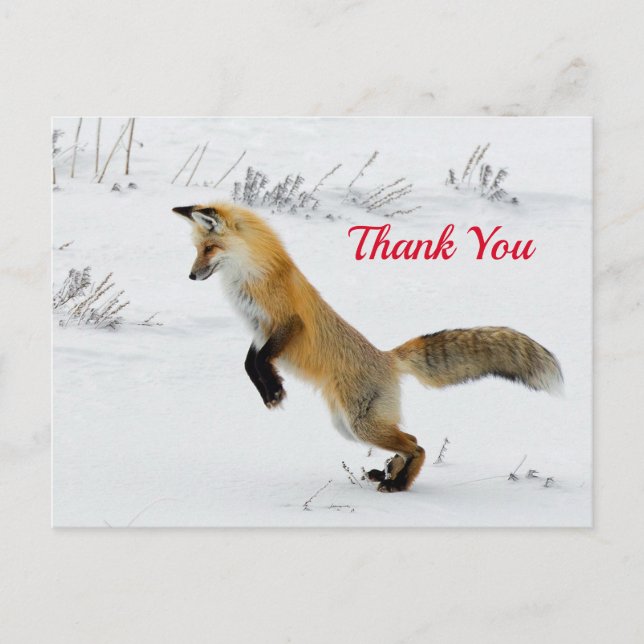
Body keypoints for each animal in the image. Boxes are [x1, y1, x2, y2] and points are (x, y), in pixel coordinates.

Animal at [172, 202, 563, 493]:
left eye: (209, 248)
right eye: (197, 249)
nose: (190, 275)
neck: (250, 277)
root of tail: (387, 358)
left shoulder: (287, 323)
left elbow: (262, 361)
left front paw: (275, 390)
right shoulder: (258, 331)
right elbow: (249, 364)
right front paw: (271, 390)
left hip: (361, 425)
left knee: (418, 444)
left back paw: (398, 483)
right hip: (348, 425)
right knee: (410, 439)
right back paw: (389, 474)